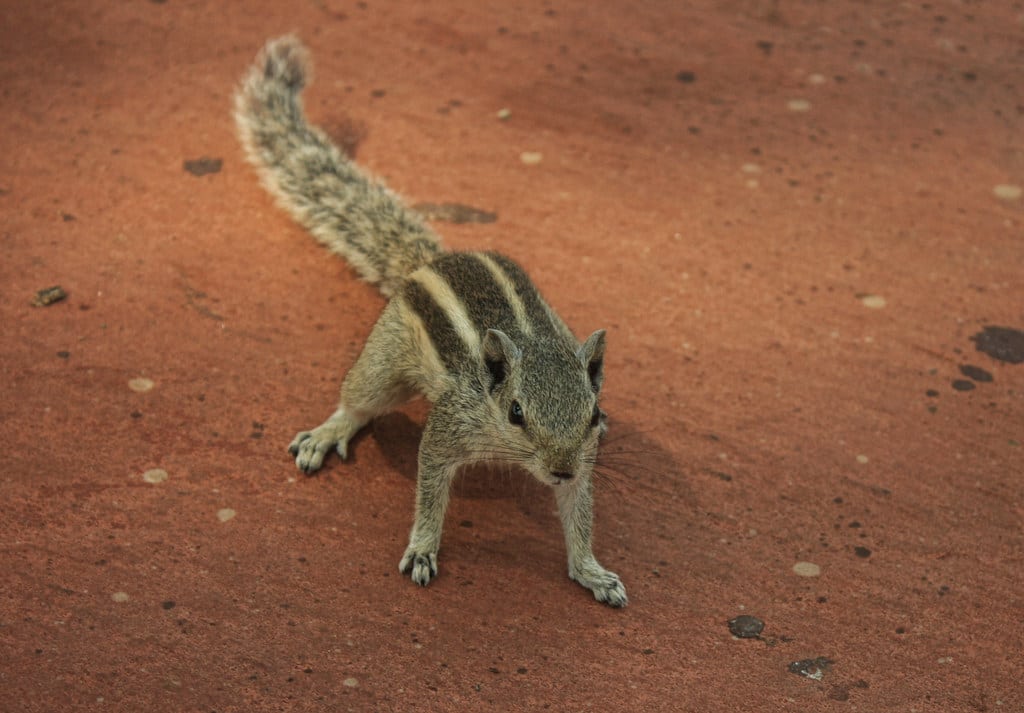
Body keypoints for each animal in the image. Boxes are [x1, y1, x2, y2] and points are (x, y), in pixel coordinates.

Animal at [234, 36, 626, 606]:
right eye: (516, 412)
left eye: (591, 414)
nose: (558, 469)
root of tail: (429, 260)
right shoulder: (448, 428)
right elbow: (429, 486)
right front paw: (422, 548)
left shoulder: (583, 460)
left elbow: (580, 514)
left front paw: (592, 571)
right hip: (387, 359)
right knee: (360, 398)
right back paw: (329, 431)